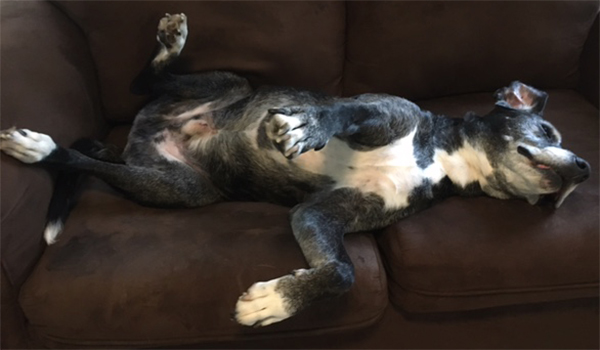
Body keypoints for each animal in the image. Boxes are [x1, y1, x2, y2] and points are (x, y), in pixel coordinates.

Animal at [0, 13, 592, 326]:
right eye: (549, 131)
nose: (584, 169)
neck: (439, 159)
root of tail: (141, 135)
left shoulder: (318, 215)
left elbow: (343, 272)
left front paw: (275, 302)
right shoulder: (377, 111)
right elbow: (337, 114)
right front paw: (308, 127)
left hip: (180, 186)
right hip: (228, 86)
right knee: (139, 86)